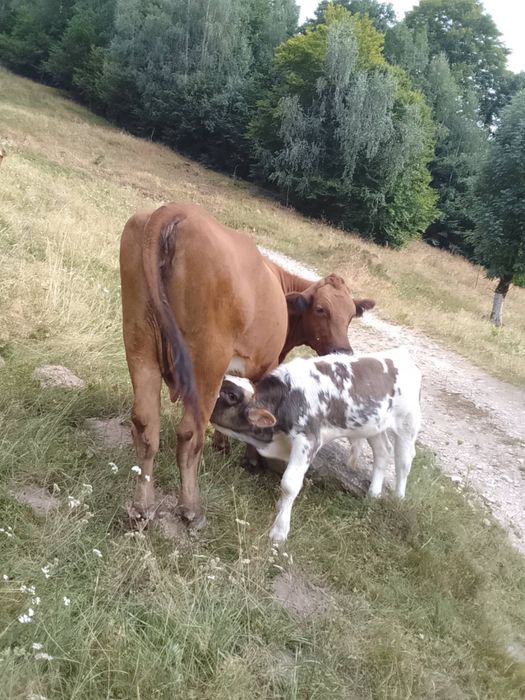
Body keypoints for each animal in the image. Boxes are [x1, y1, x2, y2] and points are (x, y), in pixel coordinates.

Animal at [120, 202, 375, 527]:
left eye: (351, 314)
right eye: (321, 309)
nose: (343, 350)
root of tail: (177, 210)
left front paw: (223, 443)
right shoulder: (267, 364)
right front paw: (252, 458)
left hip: (139, 340)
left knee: (145, 423)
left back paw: (141, 506)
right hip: (207, 359)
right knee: (189, 434)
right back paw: (191, 509)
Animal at [210, 347, 422, 543]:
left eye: (231, 395)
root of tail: (401, 353)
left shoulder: (308, 439)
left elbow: (289, 484)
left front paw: (279, 532)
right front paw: (281, 508)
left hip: (407, 423)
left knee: (403, 461)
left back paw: (398, 498)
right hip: (372, 426)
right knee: (383, 451)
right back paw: (373, 494)